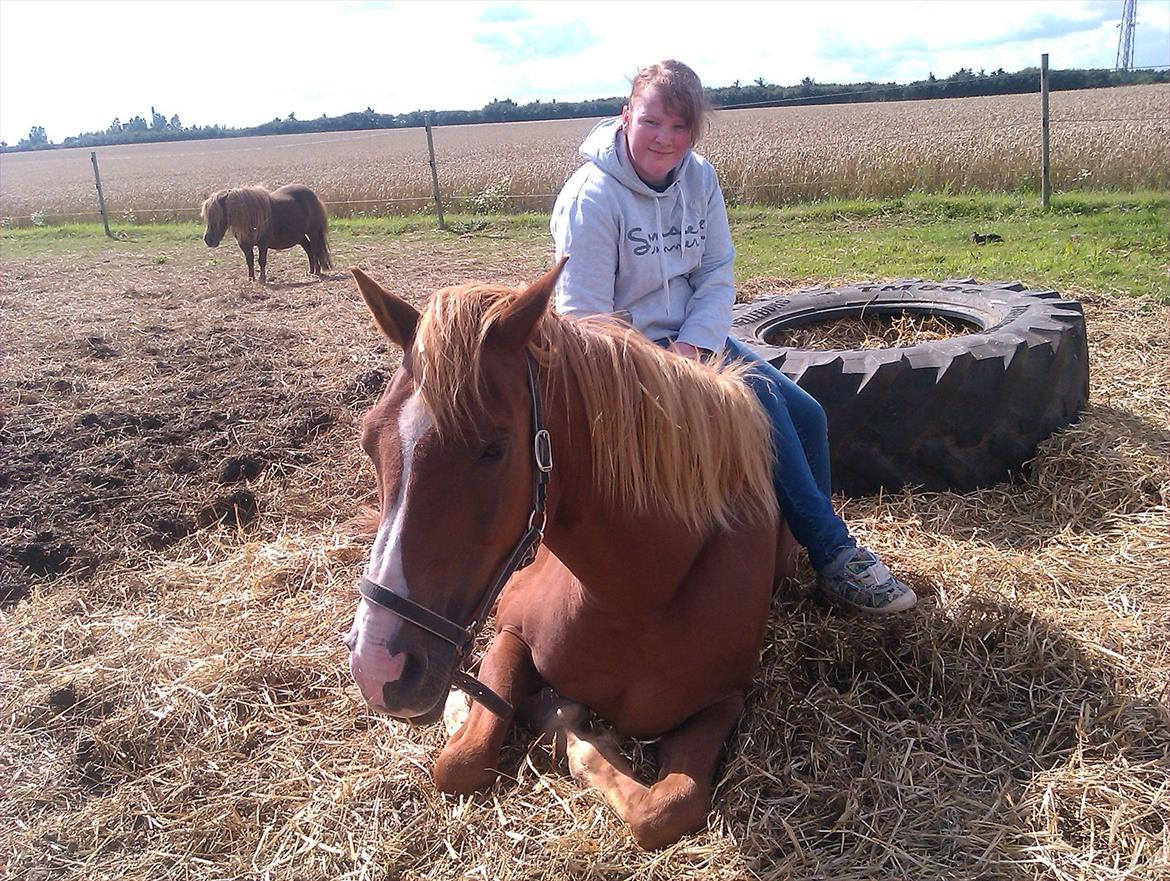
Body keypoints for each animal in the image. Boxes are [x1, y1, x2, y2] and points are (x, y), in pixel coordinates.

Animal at [198, 182, 332, 281]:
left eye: (218, 216)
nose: (208, 240)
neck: (249, 216)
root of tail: (313, 196)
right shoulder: (245, 245)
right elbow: (250, 261)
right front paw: (251, 279)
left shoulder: (263, 244)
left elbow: (261, 261)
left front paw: (262, 279)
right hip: (300, 236)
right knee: (309, 250)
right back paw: (311, 271)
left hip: (313, 232)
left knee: (315, 250)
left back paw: (317, 272)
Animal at [341, 257, 800, 847]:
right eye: (369, 441)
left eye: (493, 449)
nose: (377, 666)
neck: (641, 594)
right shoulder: (510, 634)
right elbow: (460, 762)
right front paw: (484, 711)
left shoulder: (725, 701)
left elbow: (666, 809)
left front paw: (570, 729)